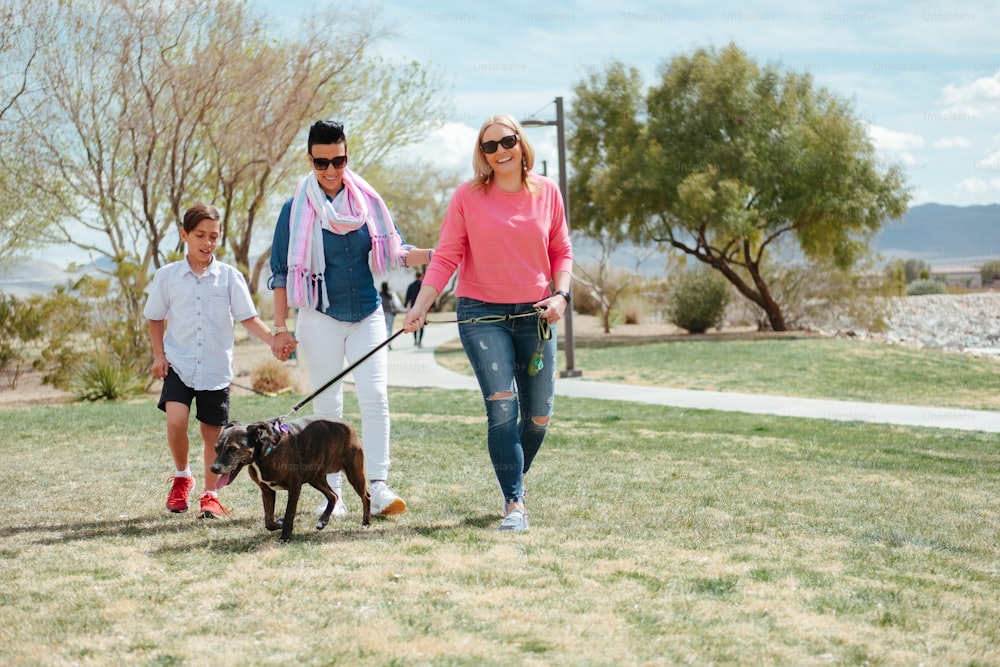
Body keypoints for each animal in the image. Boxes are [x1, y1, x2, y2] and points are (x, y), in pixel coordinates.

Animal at [211, 418, 372, 544]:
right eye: (216, 448)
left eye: (232, 448)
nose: (213, 468)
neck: (268, 450)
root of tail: (346, 425)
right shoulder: (266, 490)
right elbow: (268, 521)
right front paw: (279, 524)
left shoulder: (294, 487)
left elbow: (289, 514)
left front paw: (285, 537)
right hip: (315, 478)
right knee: (333, 495)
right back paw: (323, 521)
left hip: (354, 474)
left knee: (366, 497)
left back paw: (366, 523)